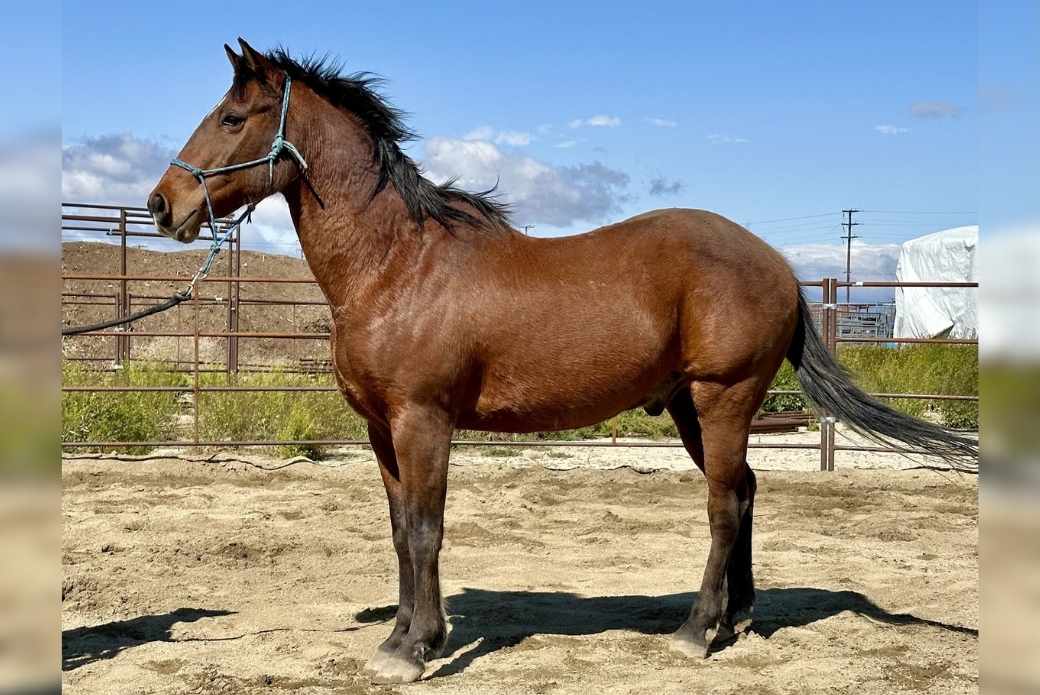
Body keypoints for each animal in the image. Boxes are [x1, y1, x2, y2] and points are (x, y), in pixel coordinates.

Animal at [147, 39, 978, 684]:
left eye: (232, 117)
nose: (162, 204)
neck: (397, 263)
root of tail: (776, 262)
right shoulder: (384, 429)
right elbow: (399, 531)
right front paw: (400, 637)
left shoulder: (424, 421)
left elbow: (425, 528)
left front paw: (418, 648)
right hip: (690, 405)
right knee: (743, 492)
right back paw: (736, 620)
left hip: (724, 395)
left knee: (721, 504)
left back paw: (694, 631)